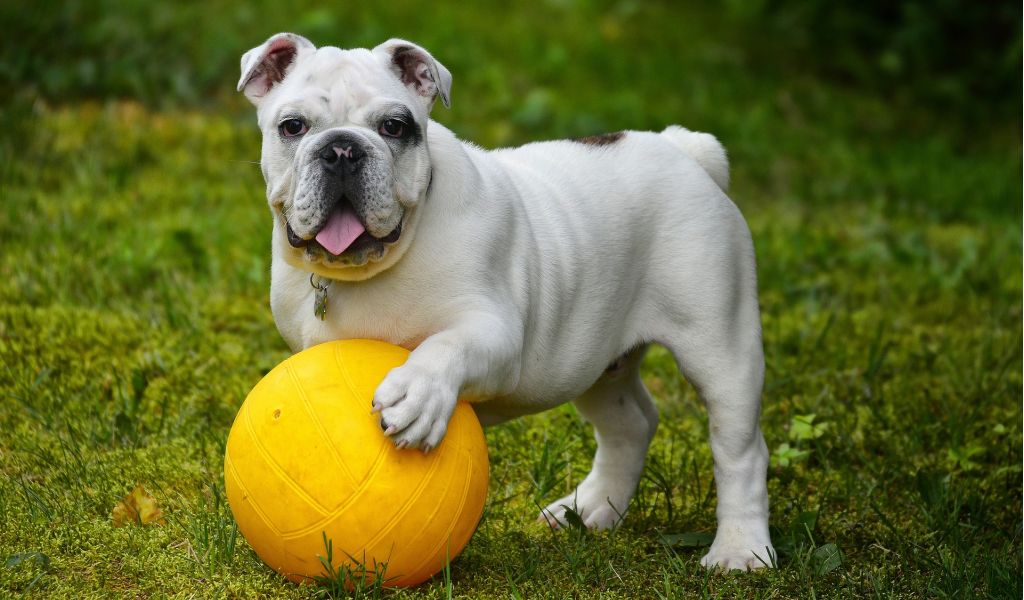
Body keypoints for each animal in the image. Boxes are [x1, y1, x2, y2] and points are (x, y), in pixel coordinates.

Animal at [235, 33, 770, 569]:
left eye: (394, 127)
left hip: (719, 345)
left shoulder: (495, 334)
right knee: (630, 425)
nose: (342, 148)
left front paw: (418, 395)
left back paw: (740, 549)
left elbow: (445, 347)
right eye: (292, 126)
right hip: (595, 359)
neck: (369, 269)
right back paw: (590, 509)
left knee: (740, 450)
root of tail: (682, 149)